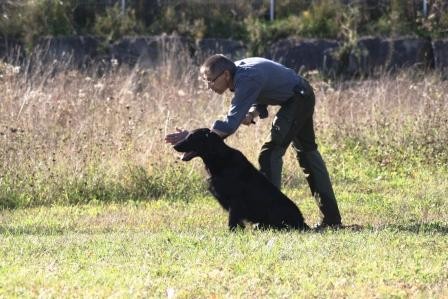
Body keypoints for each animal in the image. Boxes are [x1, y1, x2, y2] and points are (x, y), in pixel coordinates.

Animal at [173, 127, 310, 231]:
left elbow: (232, 221)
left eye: (191, 137)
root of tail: (302, 222)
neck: (220, 160)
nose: (174, 146)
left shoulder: (235, 200)